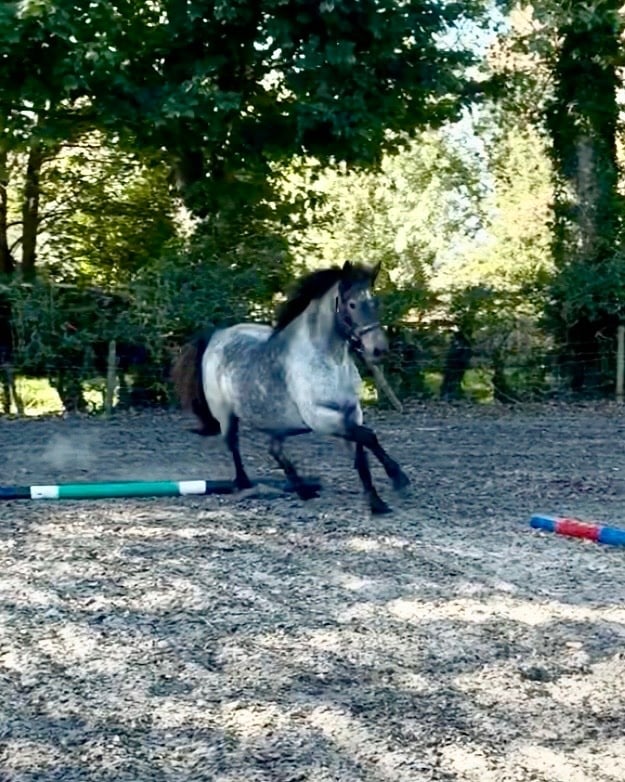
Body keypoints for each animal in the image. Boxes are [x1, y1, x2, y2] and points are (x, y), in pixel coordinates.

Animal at [172, 261, 410, 514]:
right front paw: (398, 478)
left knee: (274, 450)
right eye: (352, 304)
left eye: (375, 303)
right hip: (226, 415)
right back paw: (245, 484)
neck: (330, 362)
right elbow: (368, 437)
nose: (379, 349)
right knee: (233, 444)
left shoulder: (351, 414)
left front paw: (377, 502)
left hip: (277, 423)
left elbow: (361, 454)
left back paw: (304, 490)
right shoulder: (321, 418)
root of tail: (217, 335)